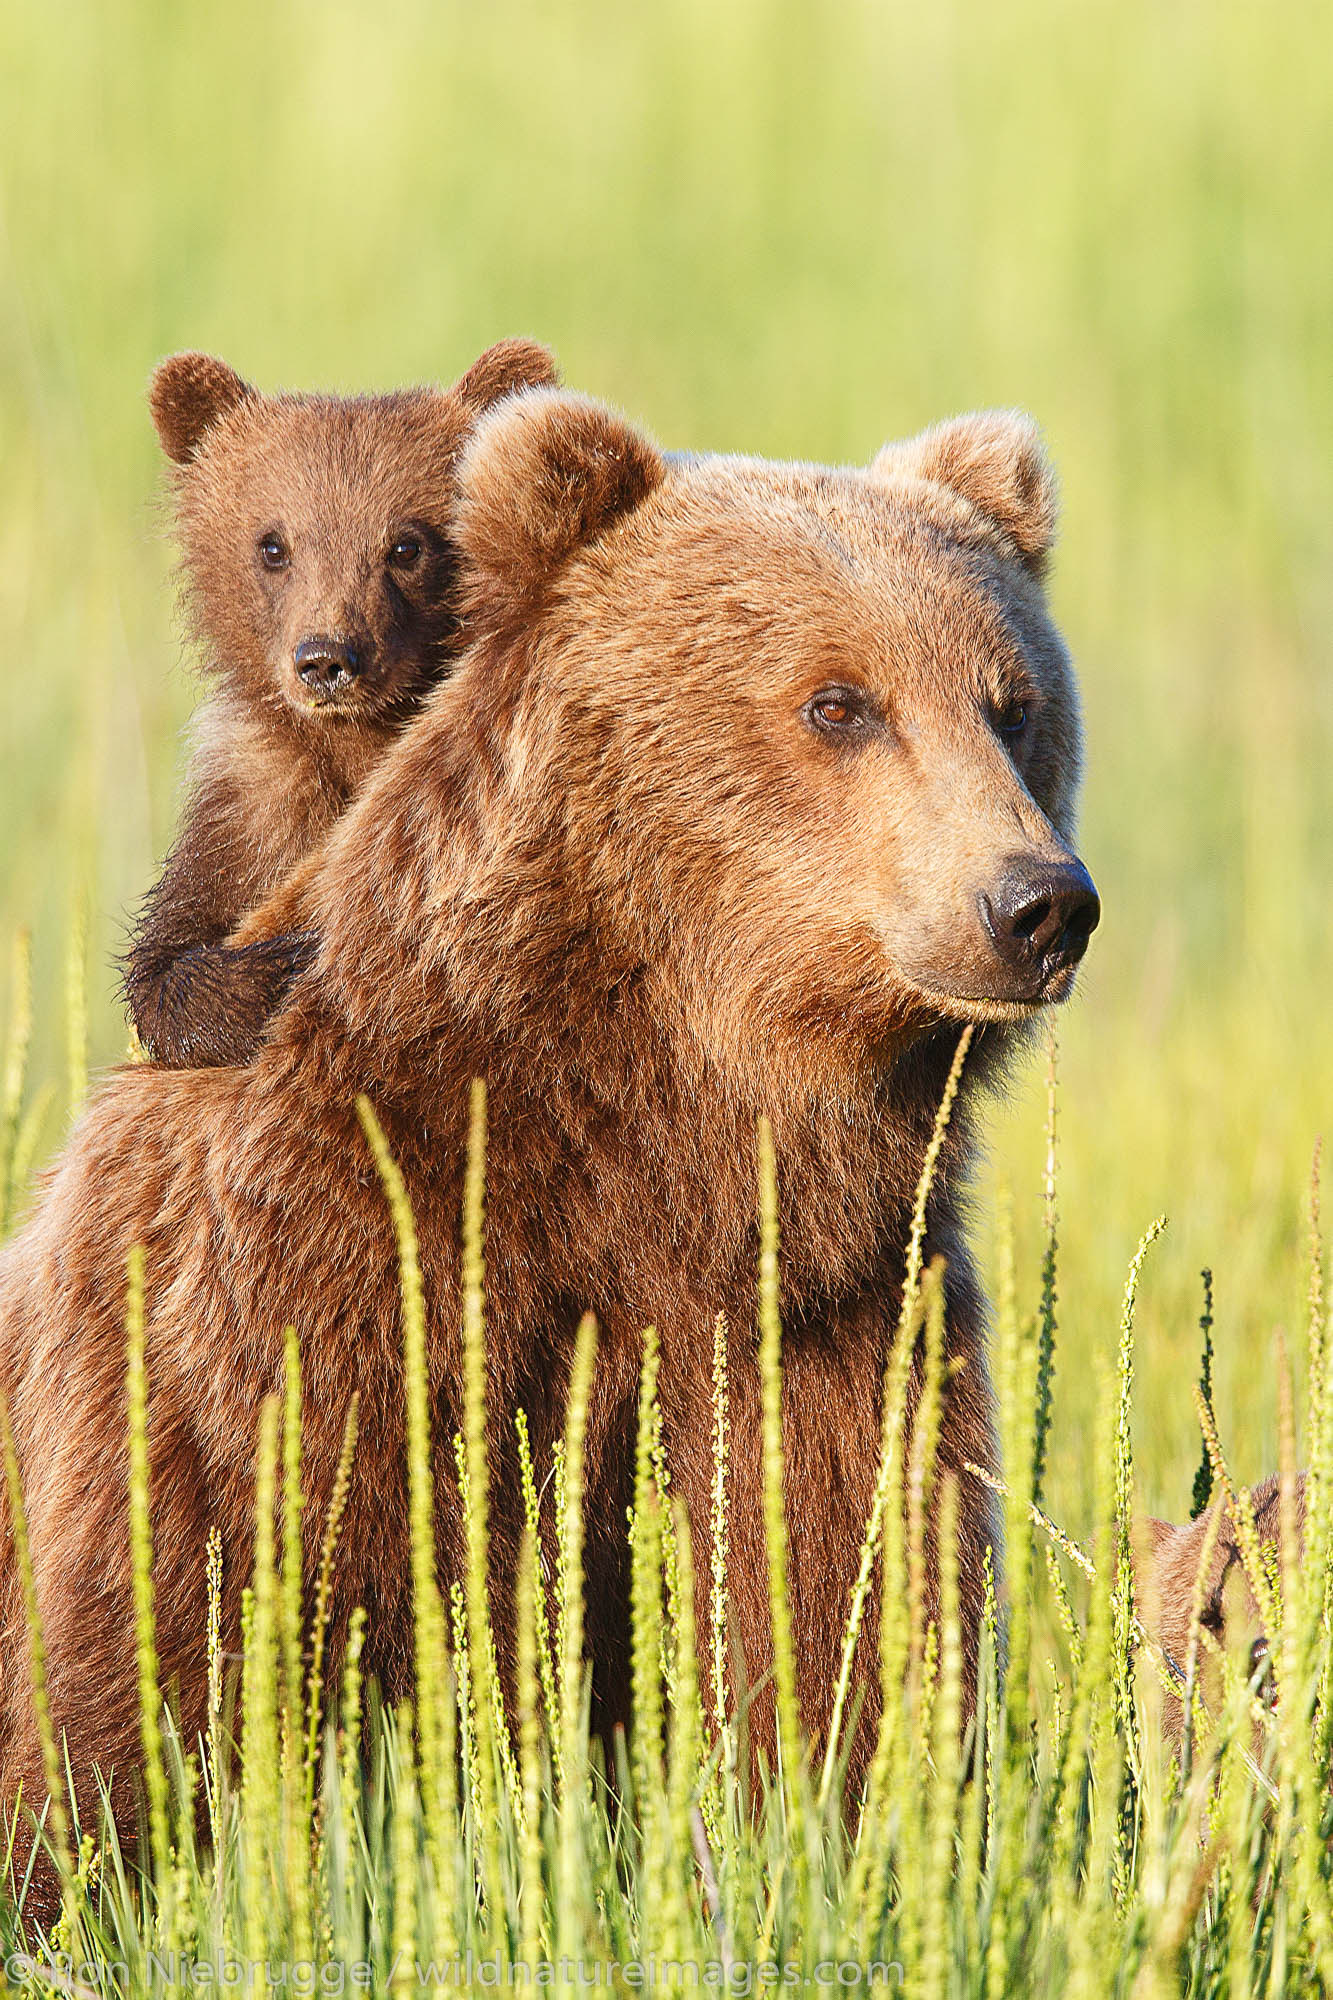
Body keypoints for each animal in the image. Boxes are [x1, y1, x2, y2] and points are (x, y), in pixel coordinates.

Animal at [0, 382, 1088, 1832]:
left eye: (1012, 704)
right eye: (839, 703)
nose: (1036, 903)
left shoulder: (827, 1313)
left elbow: (835, 1608)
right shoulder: (312, 1276)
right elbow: (196, 1637)